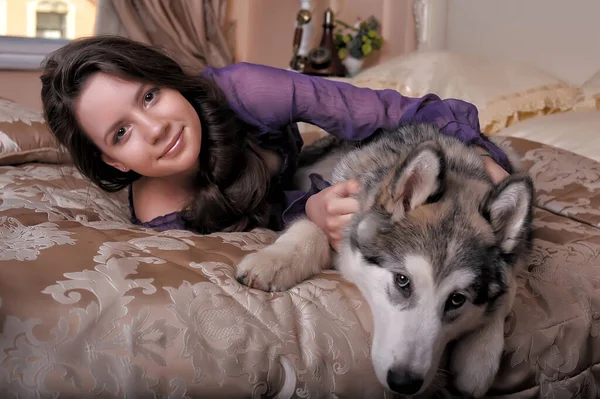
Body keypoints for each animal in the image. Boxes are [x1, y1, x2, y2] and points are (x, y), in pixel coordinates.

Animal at [236, 123, 536, 398]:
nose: (404, 382)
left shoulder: (515, 258)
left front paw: (479, 356)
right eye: (402, 280)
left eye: (457, 299)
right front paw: (272, 261)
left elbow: (506, 294)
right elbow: (310, 229)